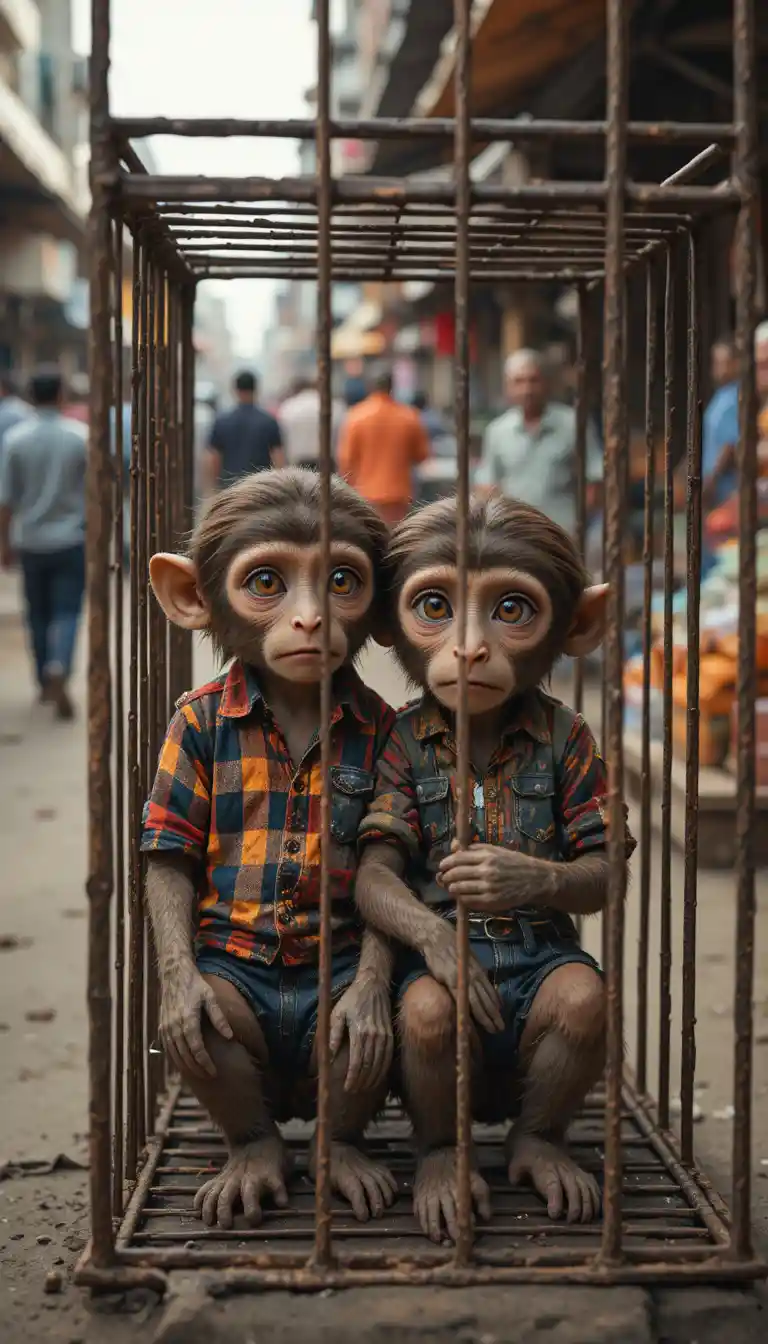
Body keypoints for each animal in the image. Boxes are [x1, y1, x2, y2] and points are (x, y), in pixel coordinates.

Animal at [141, 467, 399, 1231]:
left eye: (342, 579)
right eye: (266, 582)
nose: (311, 621)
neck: (289, 703)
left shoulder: (387, 728)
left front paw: (366, 1005)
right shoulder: (188, 724)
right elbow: (171, 849)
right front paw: (182, 993)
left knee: (348, 1036)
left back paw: (341, 1153)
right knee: (216, 1017)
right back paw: (254, 1158)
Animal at [354, 493, 635, 1244]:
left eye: (511, 609)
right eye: (435, 605)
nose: (469, 649)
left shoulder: (580, 741)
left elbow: (603, 855)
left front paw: (504, 874)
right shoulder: (394, 747)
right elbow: (377, 864)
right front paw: (451, 951)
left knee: (579, 997)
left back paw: (539, 1152)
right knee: (428, 1011)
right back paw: (440, 1169)